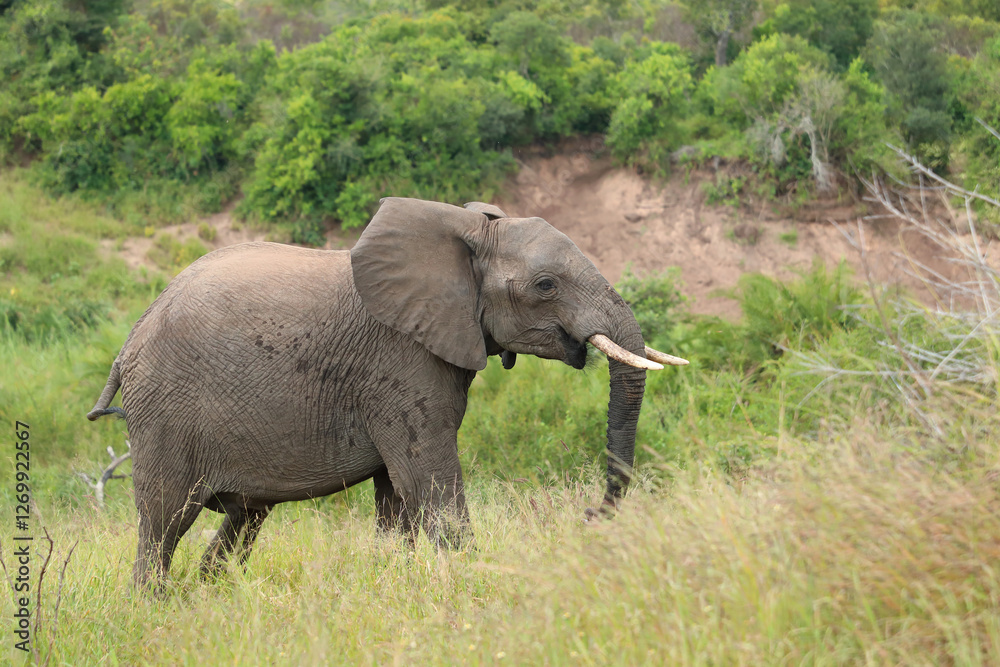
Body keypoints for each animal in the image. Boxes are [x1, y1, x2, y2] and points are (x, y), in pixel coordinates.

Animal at [87, 197, 687, 591]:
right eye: (545, 285)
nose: (587, 517)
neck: (468, 231)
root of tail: (129, 343)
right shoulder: (401, 363)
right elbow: (428, 480)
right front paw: (474, 583)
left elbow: (396, 497)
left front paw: (397, 581)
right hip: (165, 414)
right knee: (163, 523)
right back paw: (154, 606)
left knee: (243, 520)